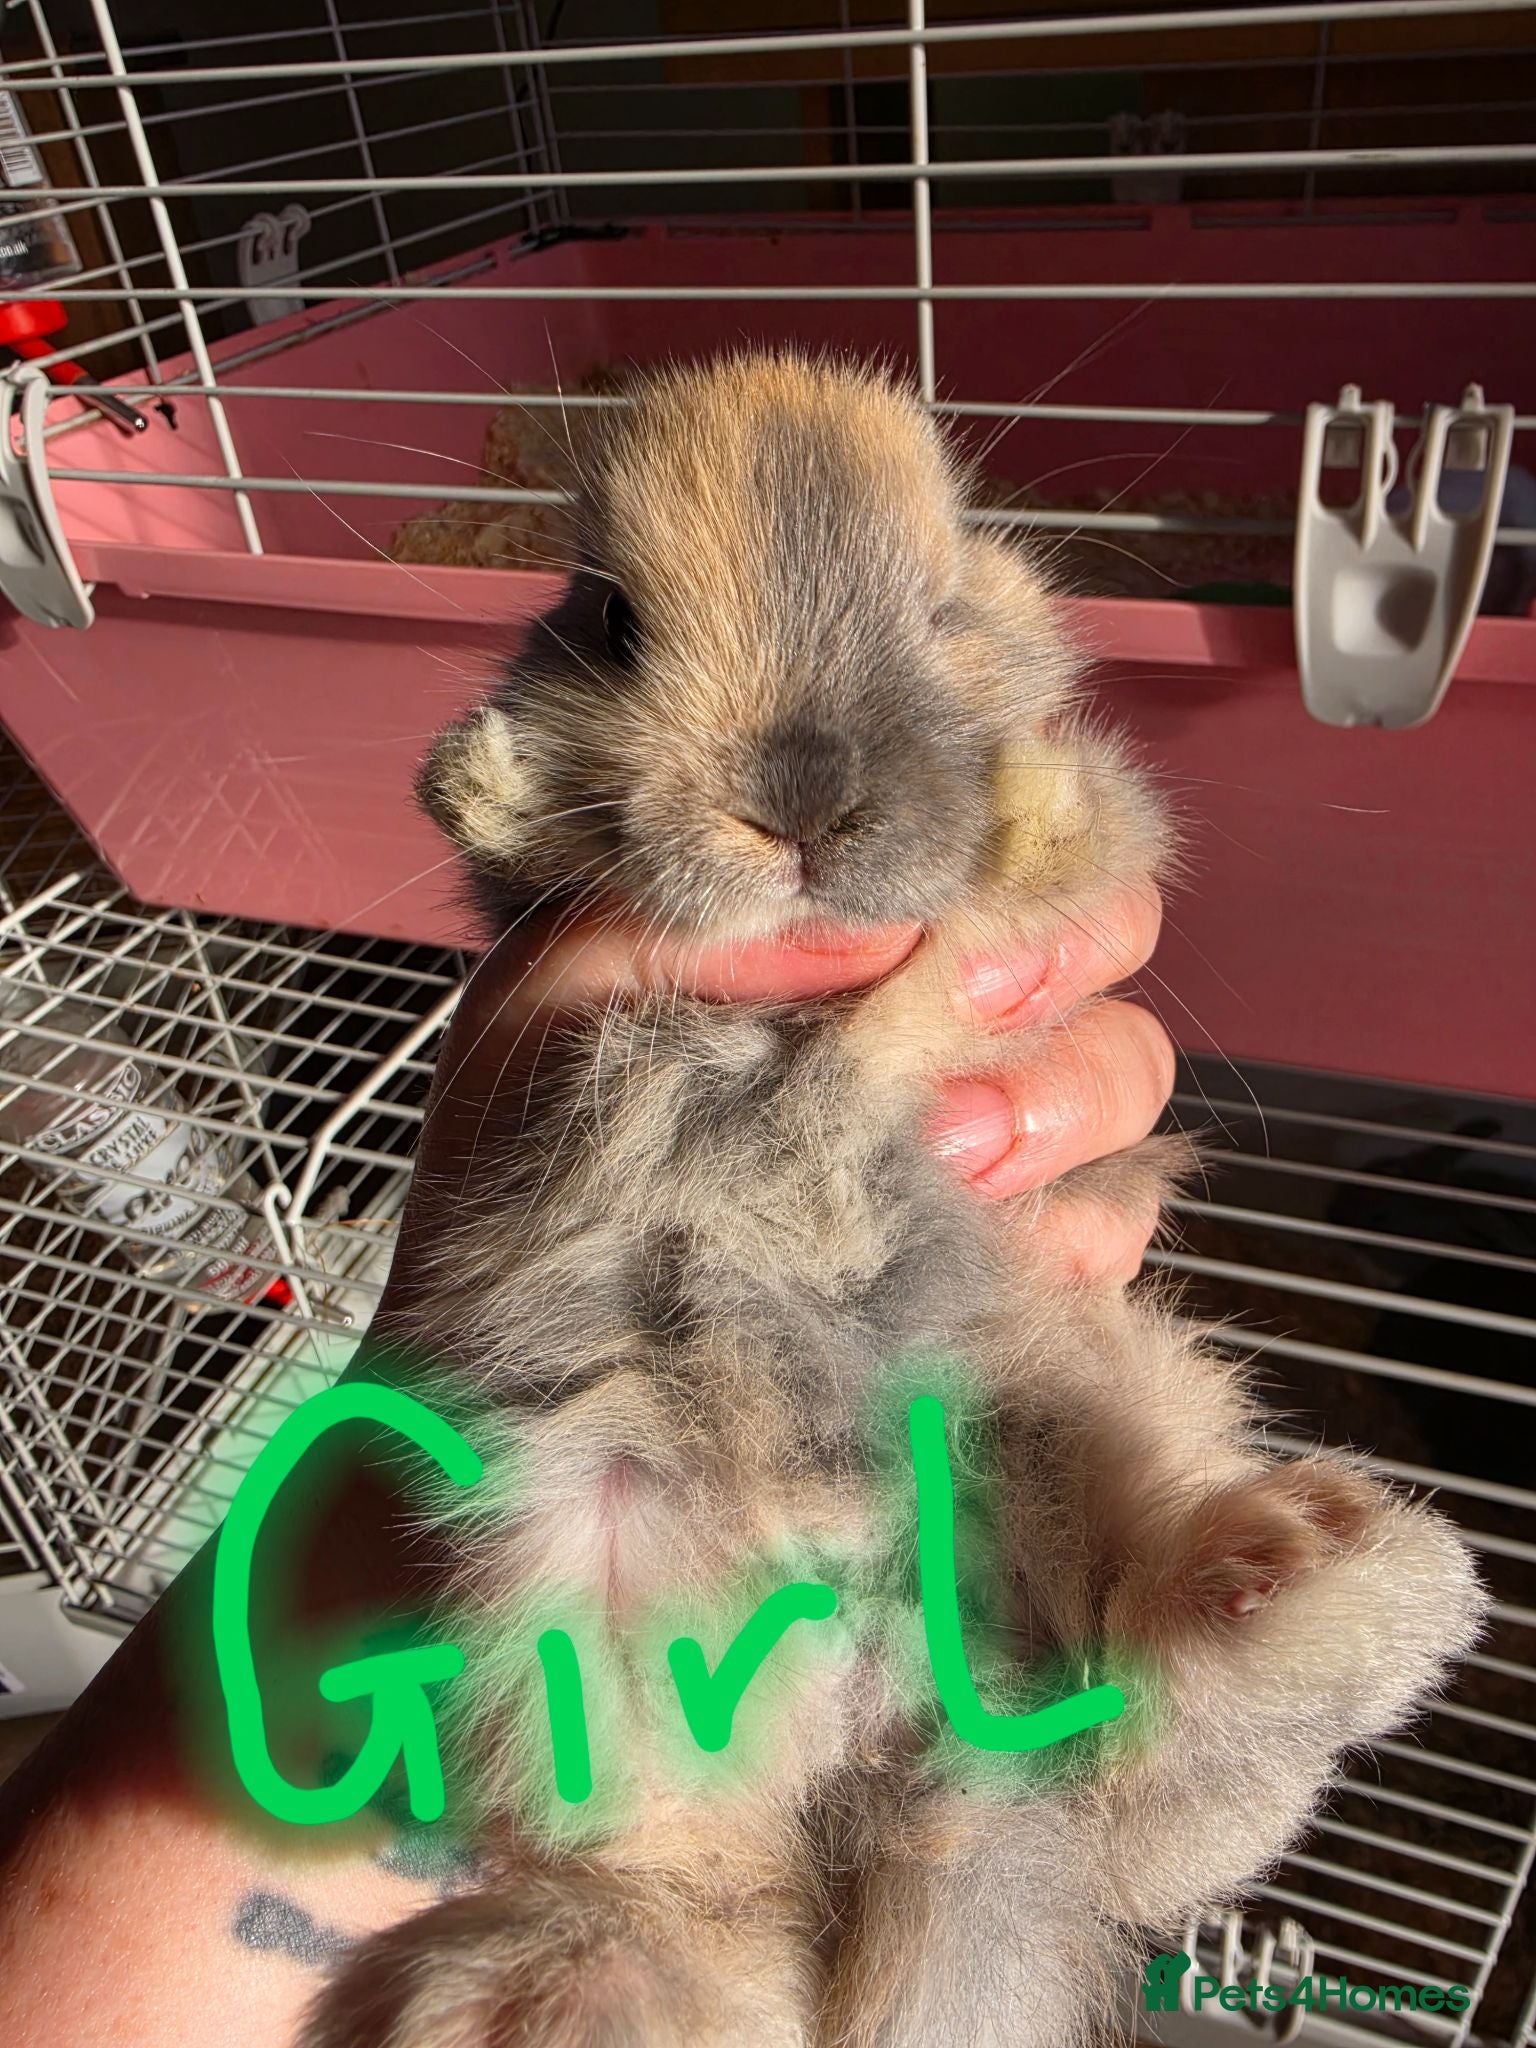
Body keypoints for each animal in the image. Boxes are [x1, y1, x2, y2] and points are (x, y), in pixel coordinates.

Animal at [301, 352, 1487, 2048]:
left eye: (944, 605)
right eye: (610, 615)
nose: (801, 800)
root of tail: (897, 1738)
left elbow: (1062, 862)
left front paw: (1034, 794)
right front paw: (482, 777)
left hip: (1088, 1394)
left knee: (1160, 1770)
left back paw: (1311, 1582)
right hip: (584, 1563)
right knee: (695, 1888)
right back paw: (560, 2001)